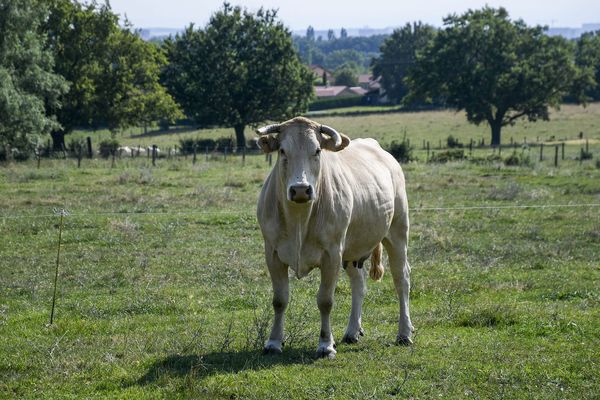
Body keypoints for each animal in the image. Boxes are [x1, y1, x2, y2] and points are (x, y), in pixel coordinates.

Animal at [255, 117, 414, 358]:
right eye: (283, 151)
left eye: (317, 150)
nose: (300, 190)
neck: (299, 219)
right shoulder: (272, 253)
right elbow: (279, 300)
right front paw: (273, 343)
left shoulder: (331, 255)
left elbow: (325, 301)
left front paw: (325, 345)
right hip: (352, 250)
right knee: (359, 284)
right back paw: (352, 332)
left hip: (397, 232)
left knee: (401, 280)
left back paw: (404, 333)